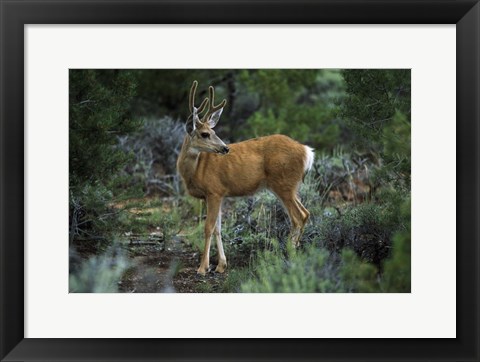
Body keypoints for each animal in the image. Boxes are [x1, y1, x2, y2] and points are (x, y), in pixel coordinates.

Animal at [177, 80, 316, 276]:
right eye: (205, 133)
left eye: (213, 132)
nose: (225, 148)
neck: (195, 170)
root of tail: (307, 152)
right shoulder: (217, 195)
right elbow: (218, 228)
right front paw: (221, 265)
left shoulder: (214, 191)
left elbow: (208, 227)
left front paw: (203, 267)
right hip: (291, 187)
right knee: (305, 213)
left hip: (283, 184)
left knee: (298, 216)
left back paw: (290, 257)